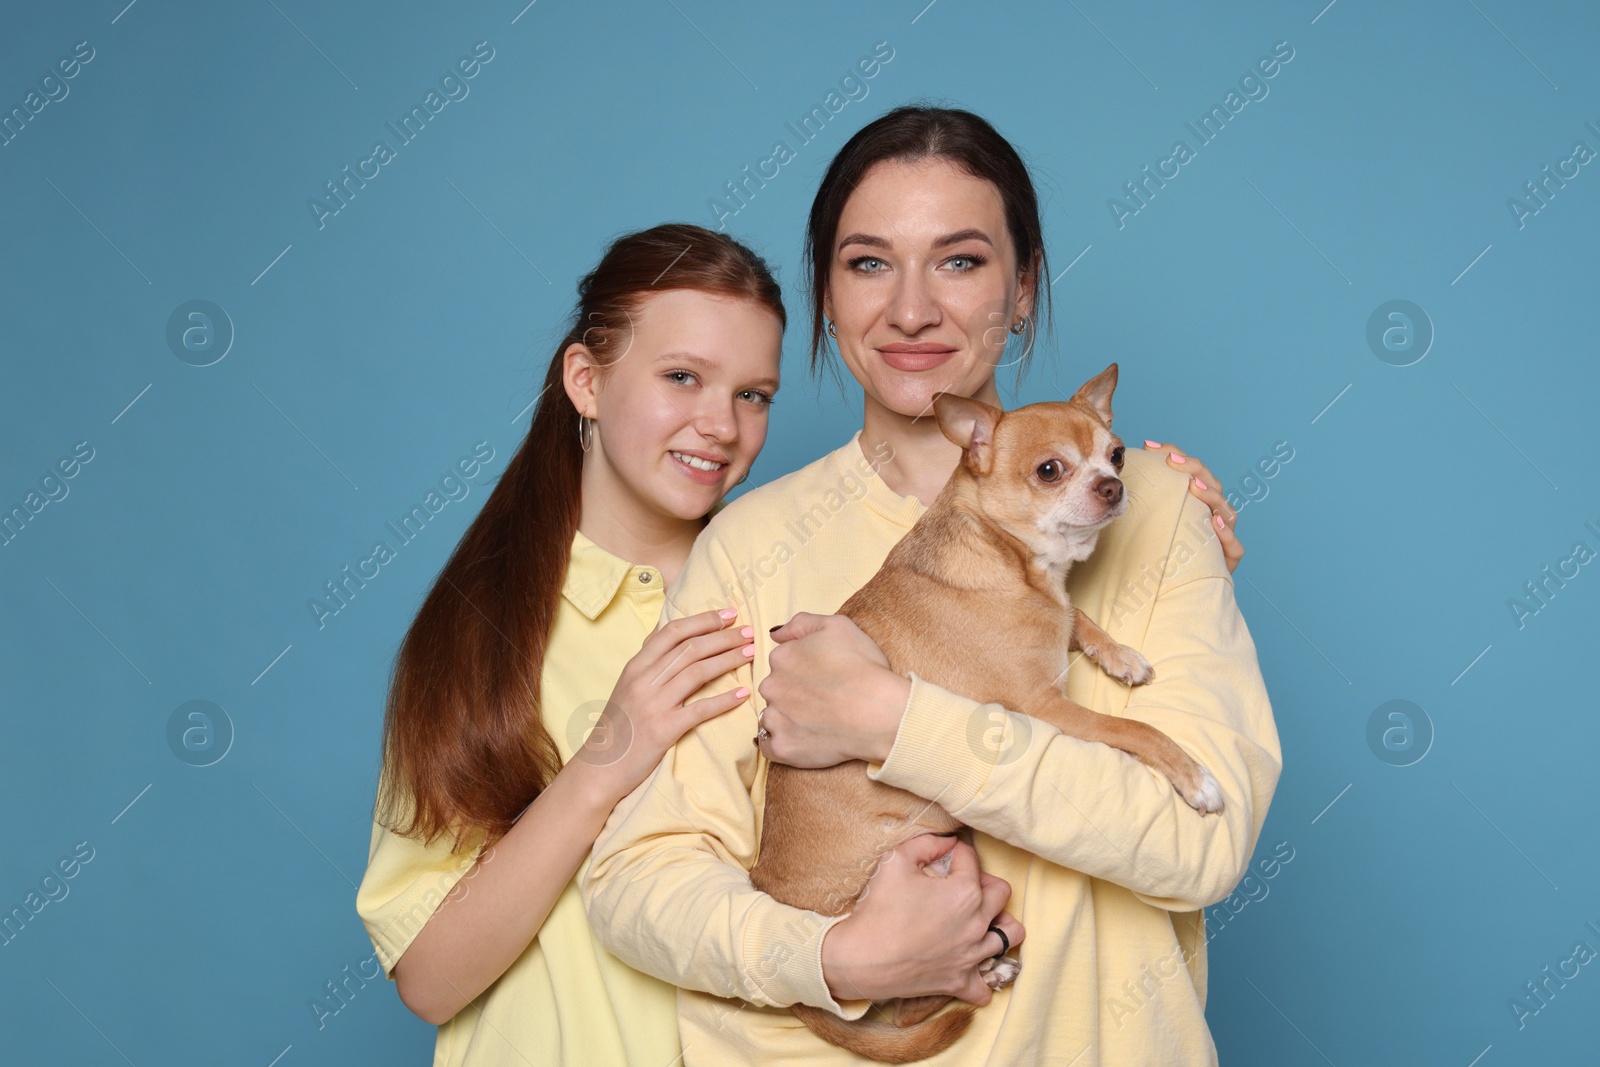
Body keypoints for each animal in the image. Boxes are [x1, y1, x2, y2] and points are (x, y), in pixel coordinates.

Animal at [748, 363, 1222, 1062]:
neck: (1018, 564)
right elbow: (1136, 729)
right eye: (1050, 470)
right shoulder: (1045, 708)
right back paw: (987, 973)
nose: (1113, 485)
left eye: (1116, 454)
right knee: (912, 1001)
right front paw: (1196, 779)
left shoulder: (1057, 621)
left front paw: (1119, 655)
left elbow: (1074, 618)